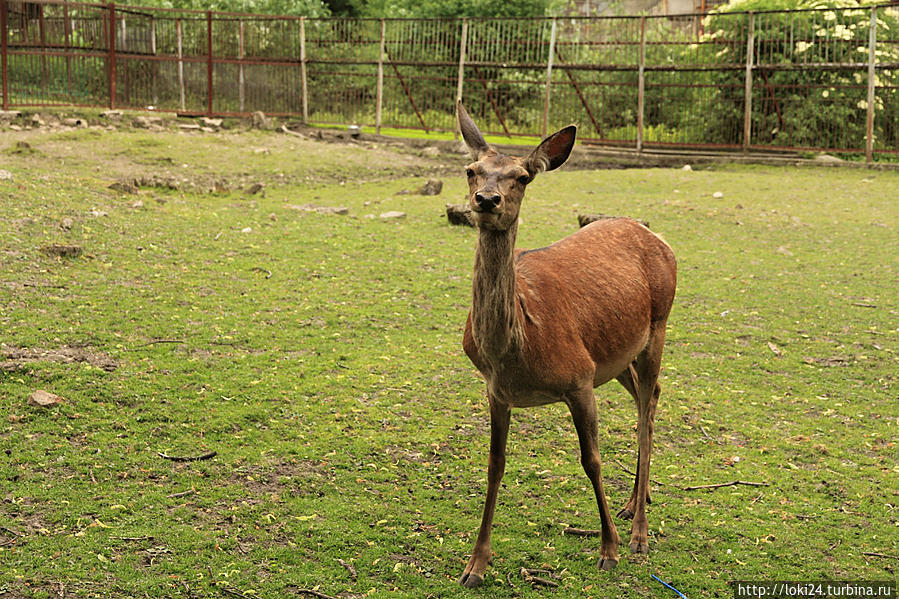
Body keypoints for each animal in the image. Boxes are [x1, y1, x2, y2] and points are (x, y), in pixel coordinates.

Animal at [458, 101, 676, 588]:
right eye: (471, 170)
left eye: (522, 177)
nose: (487, 200)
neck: (517, 350)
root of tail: (659, 238)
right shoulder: (497, 391)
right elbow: (495, 465)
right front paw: (475, 564)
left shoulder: (579, 377)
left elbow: (591, 459)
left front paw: (609, 549)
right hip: (617, 357)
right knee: (648, 396)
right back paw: (636, 501)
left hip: (659, 324)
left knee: (647, 406)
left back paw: (639, 533)